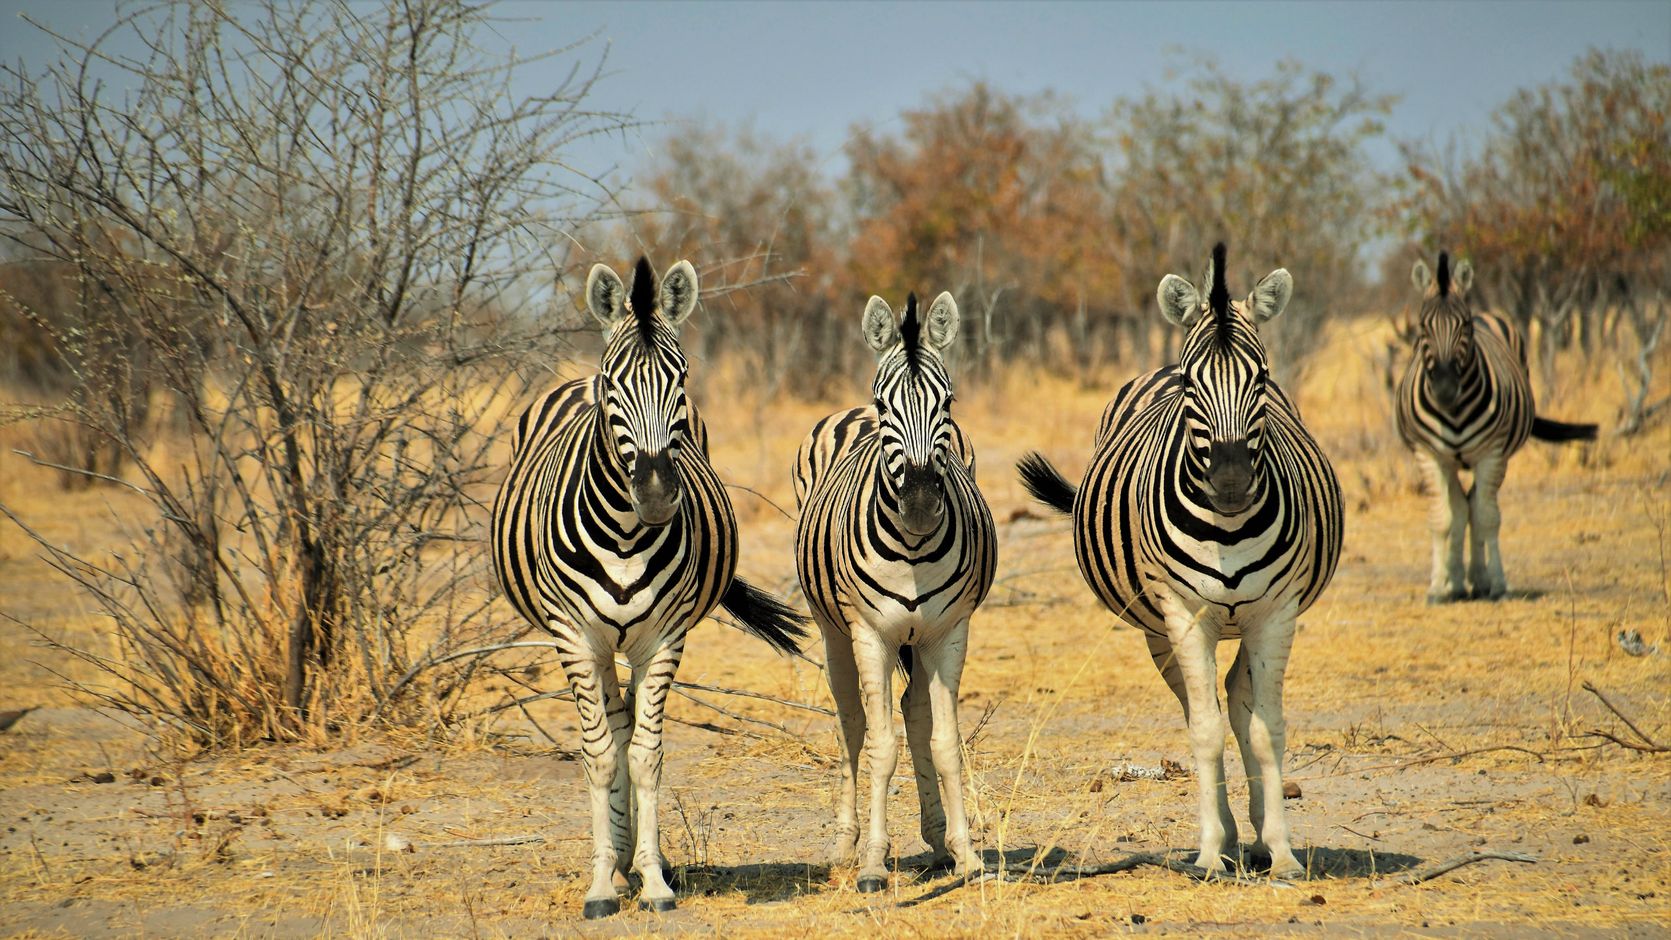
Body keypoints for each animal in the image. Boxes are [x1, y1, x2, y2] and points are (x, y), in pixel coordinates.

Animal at [491, 257, 807, 919]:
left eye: (681, 379)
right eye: (613, 384)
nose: (659, 494)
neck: (625, 534)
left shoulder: (664, 638)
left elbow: (645, 753)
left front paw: (654, 879)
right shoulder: (573, 636)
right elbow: (599, 754)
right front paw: (602, 883)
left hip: (631, 642)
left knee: (630, 723)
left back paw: (638, 858)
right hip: (592, 643)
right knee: (609, 726)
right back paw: (616, 859)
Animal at [794, 291, 997, 892]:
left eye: (948, 401)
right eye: (885, 405)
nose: (923, 504)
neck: (911, 548)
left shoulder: (949, 632)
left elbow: (946, 742)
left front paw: (966, 854)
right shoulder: (872, 634)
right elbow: (882, 745)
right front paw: (873, 865)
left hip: (919, 638)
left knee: (916, 711)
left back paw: (936, 836)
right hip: (832, 630)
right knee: (852, 723)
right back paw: (845, 845)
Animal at [1018, 243, 1342, 879]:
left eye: (1262, 377)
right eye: (1194, 384)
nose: (1232, 482)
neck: (1228, 527)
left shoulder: (1276, 613)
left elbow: (1266, 730)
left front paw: (1283, 851)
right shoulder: (1185, 615)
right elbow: (1205, 732)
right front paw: (1213, 851)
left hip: (1244, 622)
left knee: (1238, 699)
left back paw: (1258, 834)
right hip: (1160, 629)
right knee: (1202, 709)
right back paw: (1233, 836)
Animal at [1397, 252, 1597, 602]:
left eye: (1464, 325)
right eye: (1422, 325)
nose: (1445, 389)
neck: (1453, 411)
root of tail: (1487, 314)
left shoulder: (1491, 453)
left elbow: (1488, 518)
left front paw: (1498, 583)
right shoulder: (1428, 455)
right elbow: (1442, 519)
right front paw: (1437, 586)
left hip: (1494, 456)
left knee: (1476, 507)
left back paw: (1478, 579)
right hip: (1451, 461)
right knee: (1461, 508)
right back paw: (1457, 582)